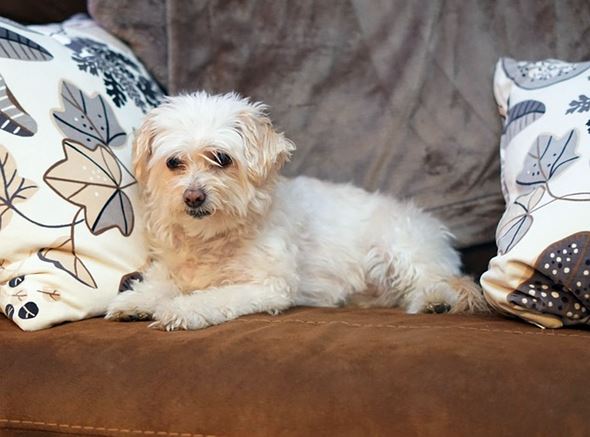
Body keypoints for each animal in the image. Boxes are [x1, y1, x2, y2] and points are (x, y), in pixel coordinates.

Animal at [106, 93, 490, 330]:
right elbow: (157, 285)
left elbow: (214, 297)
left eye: (221, 159)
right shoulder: (171, 271)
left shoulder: (268, 285)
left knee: (446, 283)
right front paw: (135, 303)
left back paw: (435, 302)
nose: (193, 197)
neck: (213, 238)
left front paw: (181, 310)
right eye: (174, 162)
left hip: (399, 248)